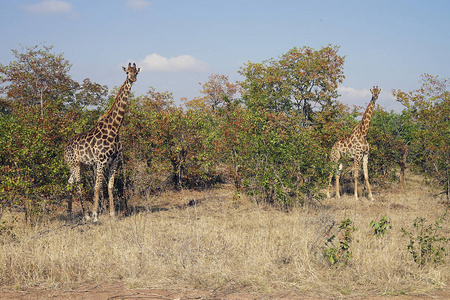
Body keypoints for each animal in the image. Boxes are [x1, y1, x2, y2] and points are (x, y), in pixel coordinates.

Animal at [64, 62, 141, 221]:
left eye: (136, 72)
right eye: (127, 72)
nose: (133, 78)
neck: (115, 128)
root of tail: (64, 148)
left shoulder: (114, 161)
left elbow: (110, 186)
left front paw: (113, 214)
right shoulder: (100, 161)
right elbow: (97, 186)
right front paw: (95, 215)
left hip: (81, 165)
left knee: (69, 182)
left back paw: (69, 214)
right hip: (73, 163)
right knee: (78, 184)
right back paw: (86, 215)